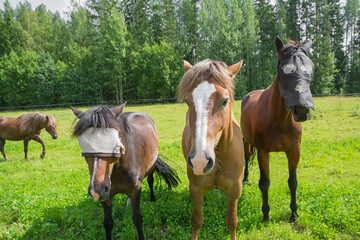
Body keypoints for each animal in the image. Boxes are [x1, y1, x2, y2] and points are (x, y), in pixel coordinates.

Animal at [71, 104, 180, 240]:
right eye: (83, 145)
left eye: (116, 144)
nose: (97, 190)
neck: (118, 170)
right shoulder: (106, 196)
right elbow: (108, 223)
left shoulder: (135, 190)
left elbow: (137, 219)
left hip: (151, 167)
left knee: (150, 180)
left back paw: (152, 198)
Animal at [177, 58, 245, 240]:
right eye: (187, 101)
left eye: (225, 100)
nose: (199, 161)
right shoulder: (195, 189)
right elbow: (196, 222)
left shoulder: (235, 191)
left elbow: (232, 222)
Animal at [242, 36, 316, 222]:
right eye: (284, 71)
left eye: (310, 70)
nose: (301, 110)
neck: (280, 120)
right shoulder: (262, 152)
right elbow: (264, 182)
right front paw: (266, 215)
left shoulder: (294, 151)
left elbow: (293, 182)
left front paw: (294, 213)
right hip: (246, 141)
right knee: (246, 158)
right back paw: (245, 178)